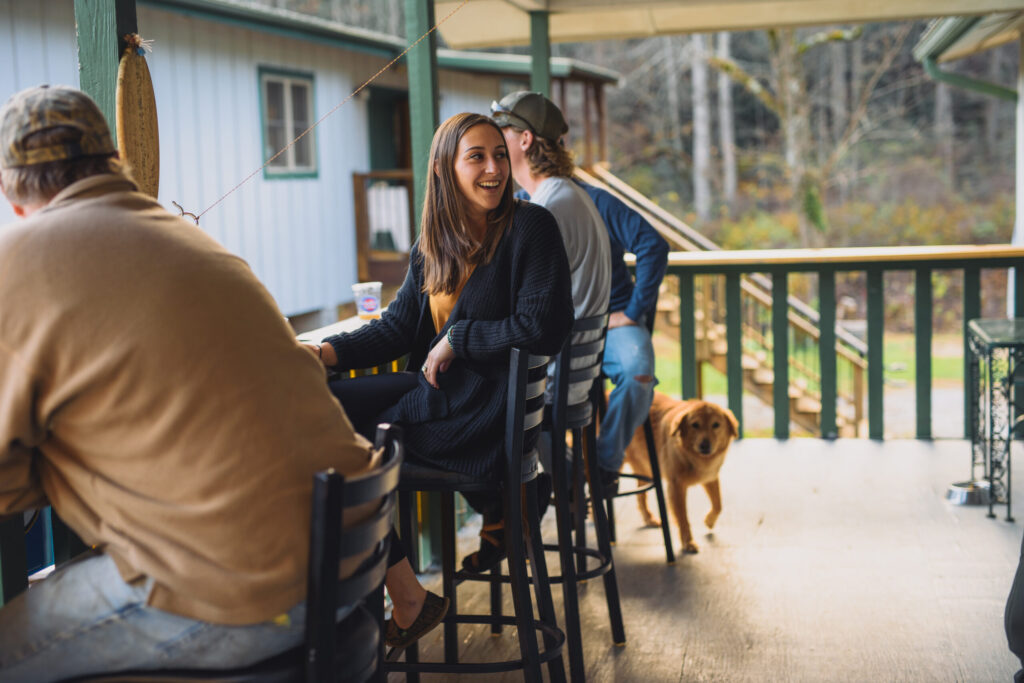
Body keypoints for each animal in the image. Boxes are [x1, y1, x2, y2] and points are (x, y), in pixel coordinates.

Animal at [618, 393, 741, 552]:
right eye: (695, 425)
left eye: (716, 425)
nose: (704, 446)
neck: (691, 456)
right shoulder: (676, 486)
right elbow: (683, 518)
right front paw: (688, 542)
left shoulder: (710, 476)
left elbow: (718, 504)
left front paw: (709, 521)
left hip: (646, 470)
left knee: (640, 497)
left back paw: (649, 519)